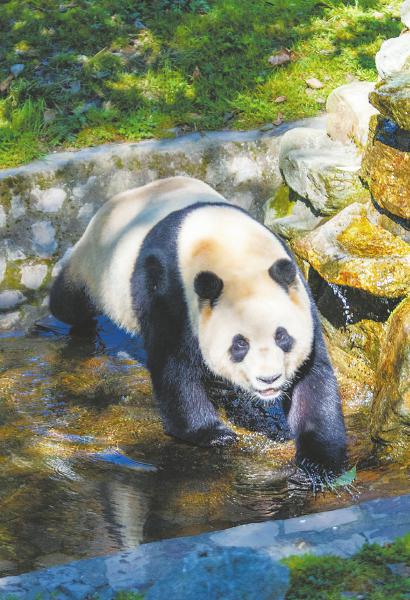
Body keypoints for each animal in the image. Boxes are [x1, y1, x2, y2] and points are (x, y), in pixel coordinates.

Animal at [50, 176, 346, 472]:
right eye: (239, 344)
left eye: (282, 337)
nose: (269, 379)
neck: (231, 249)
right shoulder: (169, 289)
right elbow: (173, 366)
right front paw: (213, 434)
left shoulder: (298, 289)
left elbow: (312, 377)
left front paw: (320, 459)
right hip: (98, 266)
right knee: (69, 302)